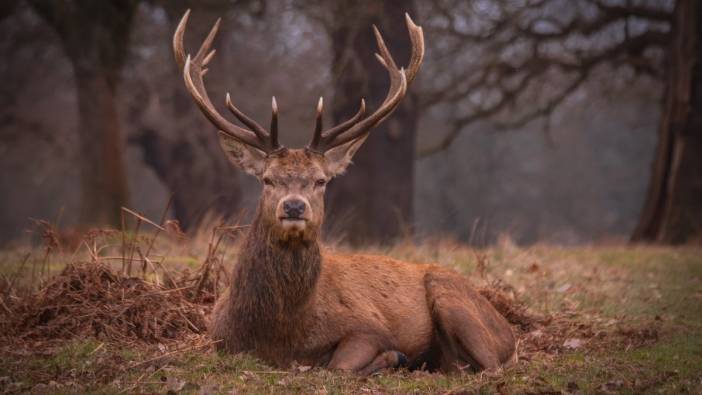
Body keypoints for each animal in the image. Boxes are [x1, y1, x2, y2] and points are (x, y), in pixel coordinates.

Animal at [175, 10, 516, 374]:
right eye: (267, 179)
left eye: (321, 180)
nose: (294, 207)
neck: (282, 336)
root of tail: (509, 332)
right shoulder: (219, 338)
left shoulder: (367, 326)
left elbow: (339, 364)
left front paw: (390, 357)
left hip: (452, 298)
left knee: (490, 366)